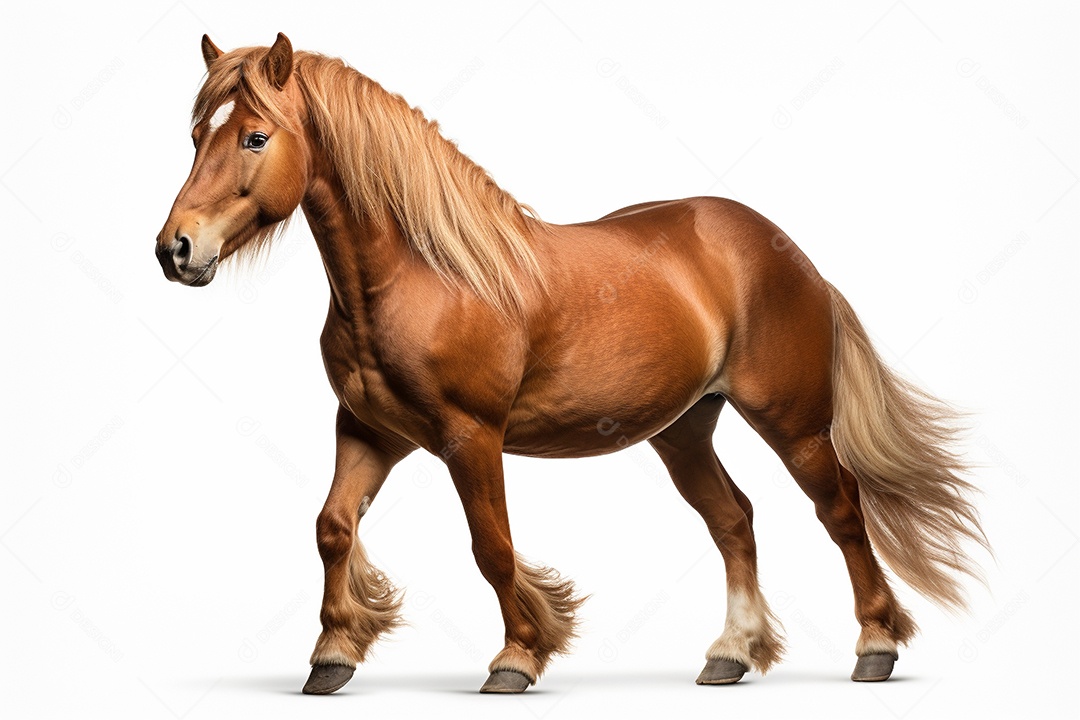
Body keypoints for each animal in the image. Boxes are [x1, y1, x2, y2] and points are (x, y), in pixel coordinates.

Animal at [155, 33, 987, 695]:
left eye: (254, 137)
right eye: (197, 135)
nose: (176, 249)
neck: (428, 274)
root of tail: (788, 253)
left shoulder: (470, 437)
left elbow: (492, 548)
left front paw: (518, 657)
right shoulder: (369, 431)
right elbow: (331, 528)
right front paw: (332, 654)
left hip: (794, 423)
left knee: (840, 510)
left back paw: (874, 646)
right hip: (684, 430)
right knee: (734, 520)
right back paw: (730, 653)